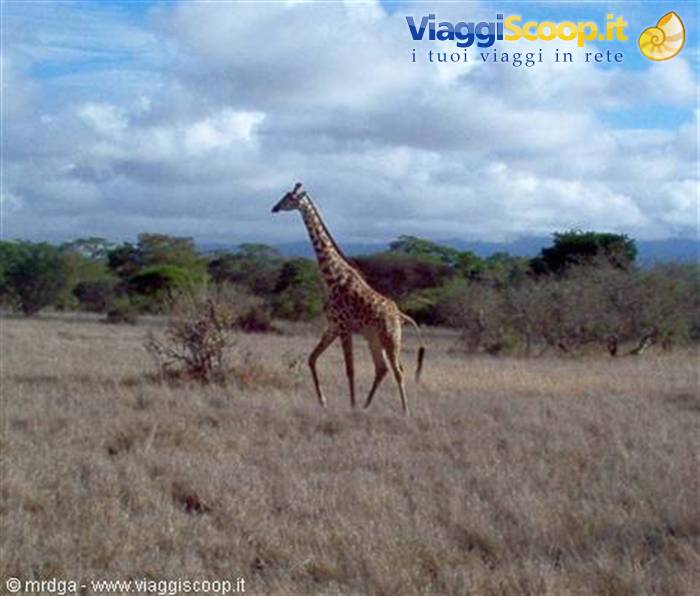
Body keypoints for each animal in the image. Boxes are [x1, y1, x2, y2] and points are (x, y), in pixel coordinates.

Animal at [271, 182, 425, 415]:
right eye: (284, 195)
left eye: (290, 198)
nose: (274, 208)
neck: (332, 278)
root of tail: (400, 315)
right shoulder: (333, 327)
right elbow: (311, 359)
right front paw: (324, 401)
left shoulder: (344, 328)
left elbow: (350, 369)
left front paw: (350, 405)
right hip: (373, 338)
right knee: (382, 369)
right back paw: (366, 405)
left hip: (391, 337)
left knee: (398, 370)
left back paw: (405, 411)